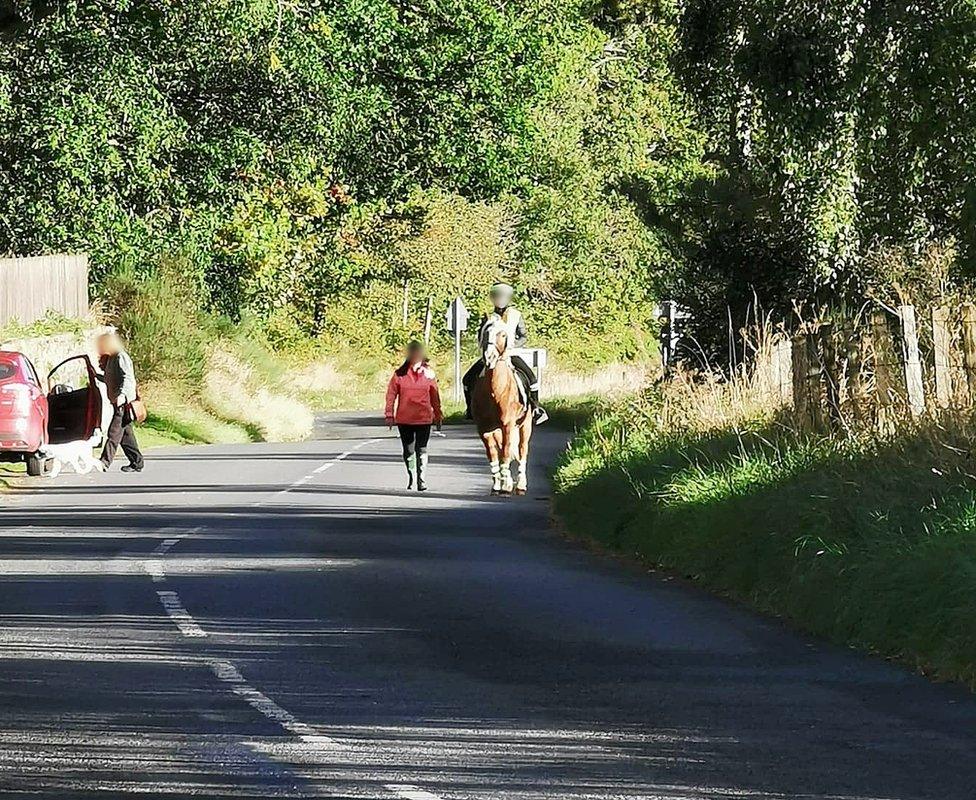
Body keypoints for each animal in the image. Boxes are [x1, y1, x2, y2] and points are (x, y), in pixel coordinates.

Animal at [470, 318, 532, 494]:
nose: (489, 357)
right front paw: (498, 484)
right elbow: (493, 454)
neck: (495, 391)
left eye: (503, 334)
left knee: (522, 449)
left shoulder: (508, 425)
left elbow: (506, 452)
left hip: (525, 425)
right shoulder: (484, 429)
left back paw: (521, 484)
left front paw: (505, 486)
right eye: (485, 332)